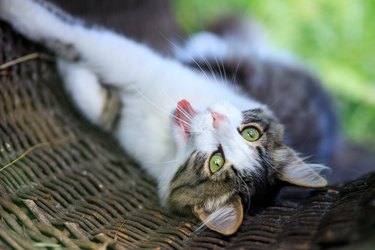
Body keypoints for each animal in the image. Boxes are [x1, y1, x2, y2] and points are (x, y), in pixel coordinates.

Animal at [0, 0, 328, 235]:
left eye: (215, 161)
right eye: (250, 133)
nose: (217, 118)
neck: (166, 130)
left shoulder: (133, 75)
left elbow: (77, 38)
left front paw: (24, 18)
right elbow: (88, 68)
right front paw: (69, 64)